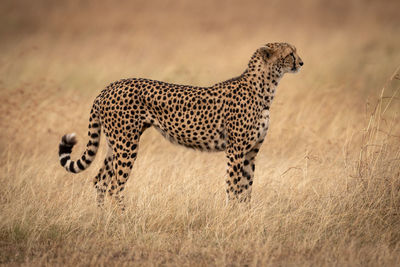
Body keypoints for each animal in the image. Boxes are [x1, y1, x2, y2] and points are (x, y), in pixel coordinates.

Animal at [58, 43, 304, 209]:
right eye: (289, 54)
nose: (301, 63)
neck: (265, 87)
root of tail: (109, 87)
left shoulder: (252, 151)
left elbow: (247, 188)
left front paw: (245, 215)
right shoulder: (236, 150)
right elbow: (233, 186)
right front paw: (231, 215)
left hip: (115, 144)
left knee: (100, 181)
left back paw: (102, 218)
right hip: (126, 145)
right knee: (114, 186)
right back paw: (122, 219)